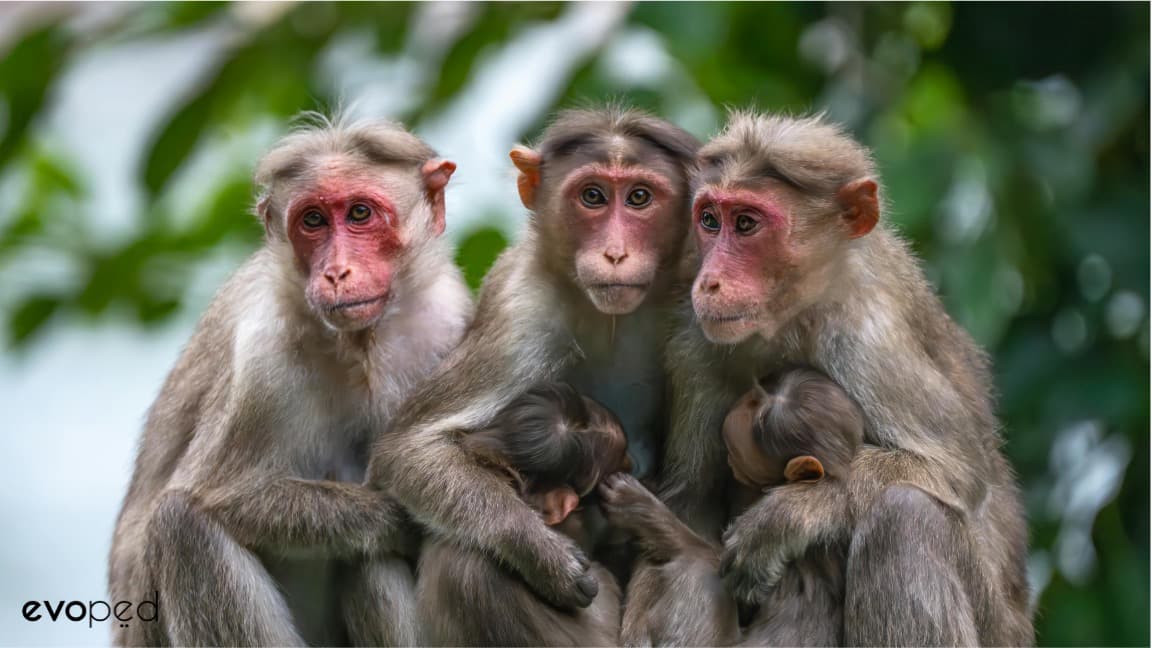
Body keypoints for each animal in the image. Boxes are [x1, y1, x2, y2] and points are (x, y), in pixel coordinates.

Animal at [107, 116, 474, 646]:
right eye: (313, 221)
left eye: (359, 213)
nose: (336, 272)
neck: (359, 344)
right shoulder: (263, 357)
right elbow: (220, 493)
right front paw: (393, 517)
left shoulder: (447, 322)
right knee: (182, 525)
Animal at [366, 106, 701, 610]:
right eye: (593, 196)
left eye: (640, 197)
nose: (615, 253)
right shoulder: (520, 309)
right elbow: (408, 449)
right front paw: (542, 553)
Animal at [657, 111, 1033, 646]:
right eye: (710, 220)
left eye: (746, 224)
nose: (709, 281)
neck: (793, 316)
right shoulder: (696, 343)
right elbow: (691, 504)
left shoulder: (865, 337)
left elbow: (957, 470)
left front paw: (788, 516)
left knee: (905, 516)